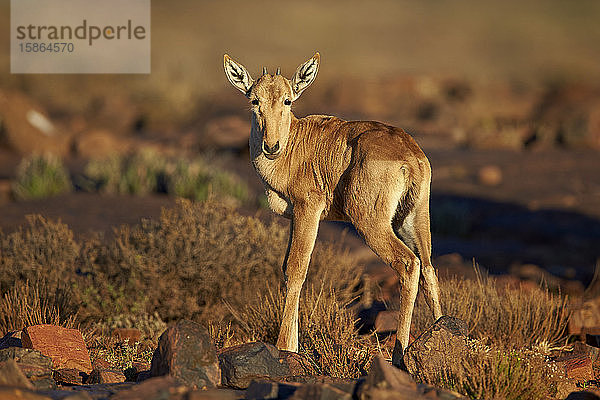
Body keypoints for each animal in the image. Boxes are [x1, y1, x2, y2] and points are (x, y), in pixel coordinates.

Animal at [223, 53, 442, 368]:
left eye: (288, 100)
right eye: (255, 100)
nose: (271, 146)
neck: (297, 143)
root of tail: (409, 157)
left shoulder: (308, 208)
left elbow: (297, 268)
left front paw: (286, 346)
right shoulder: (295, 217)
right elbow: (287, 266)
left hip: (369, 222)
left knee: (408, 263)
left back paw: (399, 355)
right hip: (413, 219)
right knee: (428, 269)